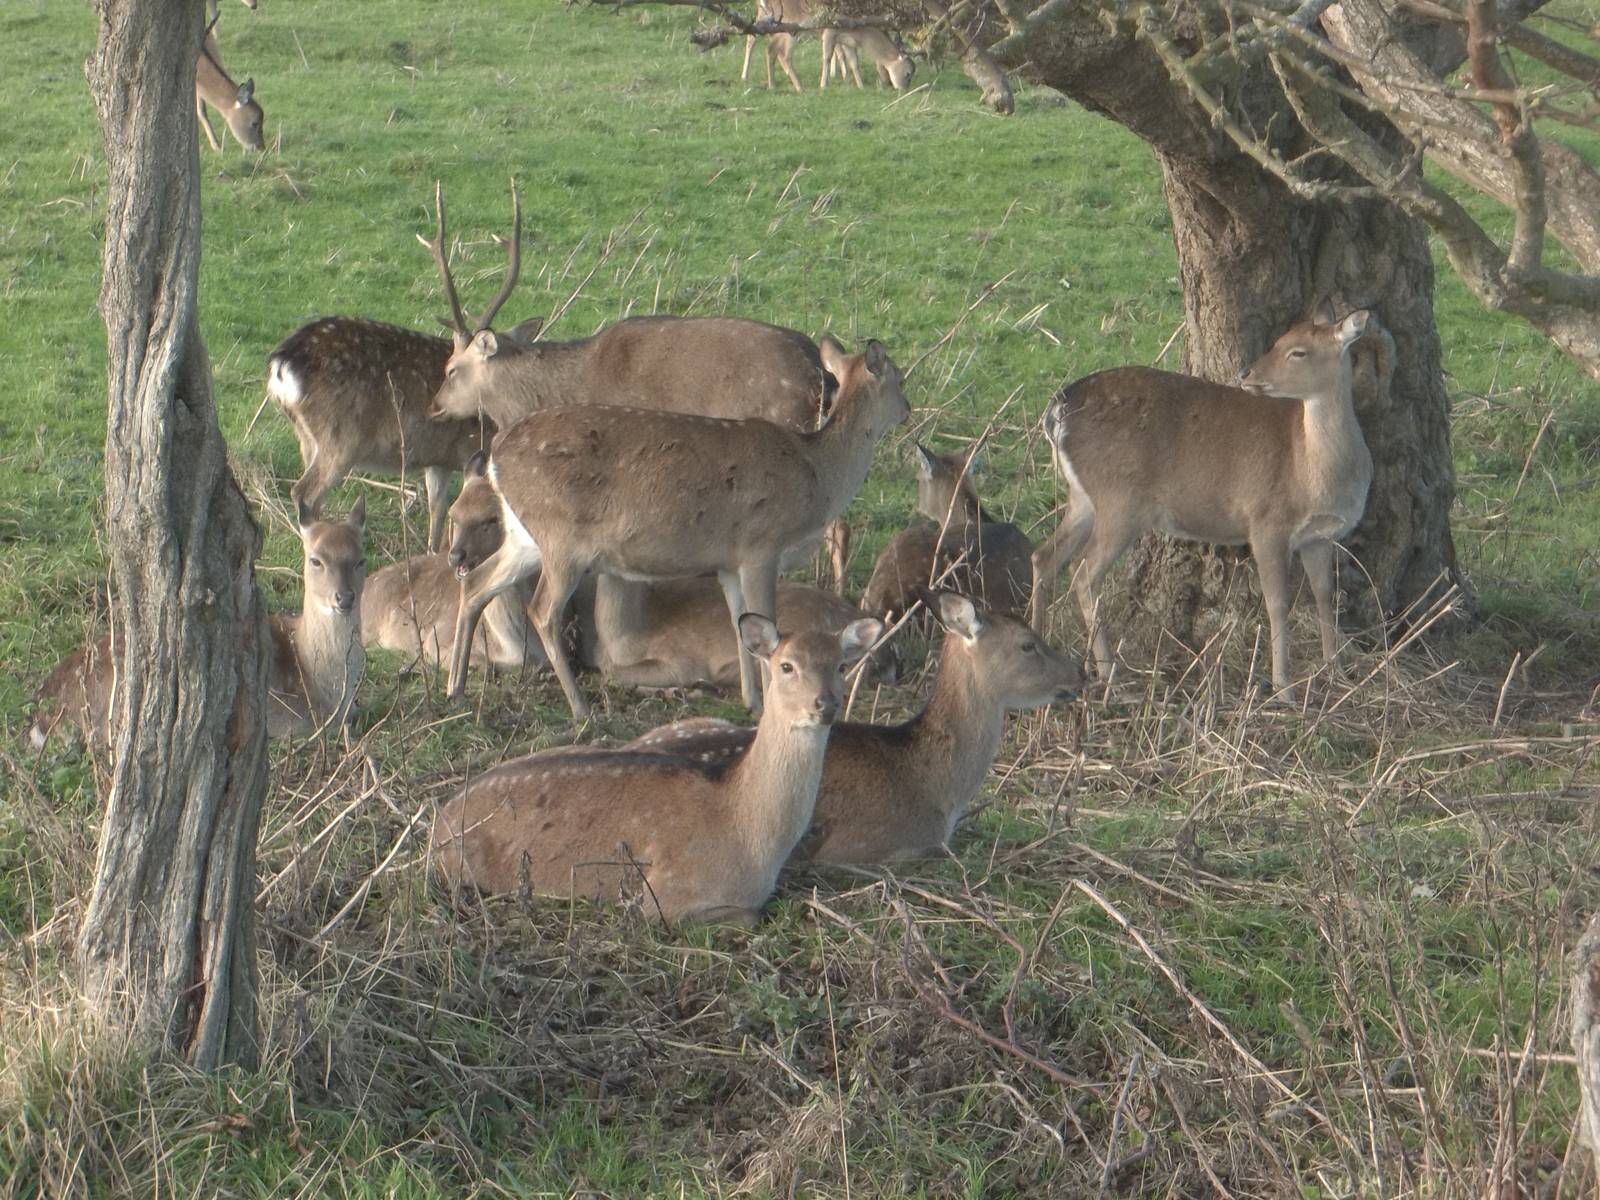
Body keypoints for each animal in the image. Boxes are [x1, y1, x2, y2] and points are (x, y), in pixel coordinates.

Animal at [266, 316, 503, 555]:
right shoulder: (471, 449)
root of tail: (281, 364)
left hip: (307, 437)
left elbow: (438, 507)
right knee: (305, 492)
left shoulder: (438, 459)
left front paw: (433, 553)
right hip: (341, 440)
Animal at [430, 614, 884, 925]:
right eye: (787, 665)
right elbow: (749, 916)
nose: (825, 705)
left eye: (841, 666)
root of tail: (437, 824)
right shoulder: (664, 898)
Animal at [448, 338, 908, 718]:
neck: (819, 476)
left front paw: (752, 701)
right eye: (900, 379)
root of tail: (496, 455)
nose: (907, 410)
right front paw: (769, 701)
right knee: (541, 609)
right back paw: (581, 708)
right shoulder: (762, 545)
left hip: (523, 537)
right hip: (563, 538)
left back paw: (455, 686)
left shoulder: (728, 561)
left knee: (476, 585)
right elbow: (768, 624)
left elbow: (740, 623)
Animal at [1030, 305, 1377, 699]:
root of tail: (1056, 412)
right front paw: (1284, 689)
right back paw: (1110, 674)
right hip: (1120, 500)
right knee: (1082, 572)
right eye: (1279, 340)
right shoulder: (1266, 522)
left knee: (1044, 556)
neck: (1313, 472)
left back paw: (1038, 647)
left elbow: (1324, 596)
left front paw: (1336, 671)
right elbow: (1277, 604)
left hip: (1083, 498)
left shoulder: (1319, 537)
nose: (1247, 373)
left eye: (1298, 351)